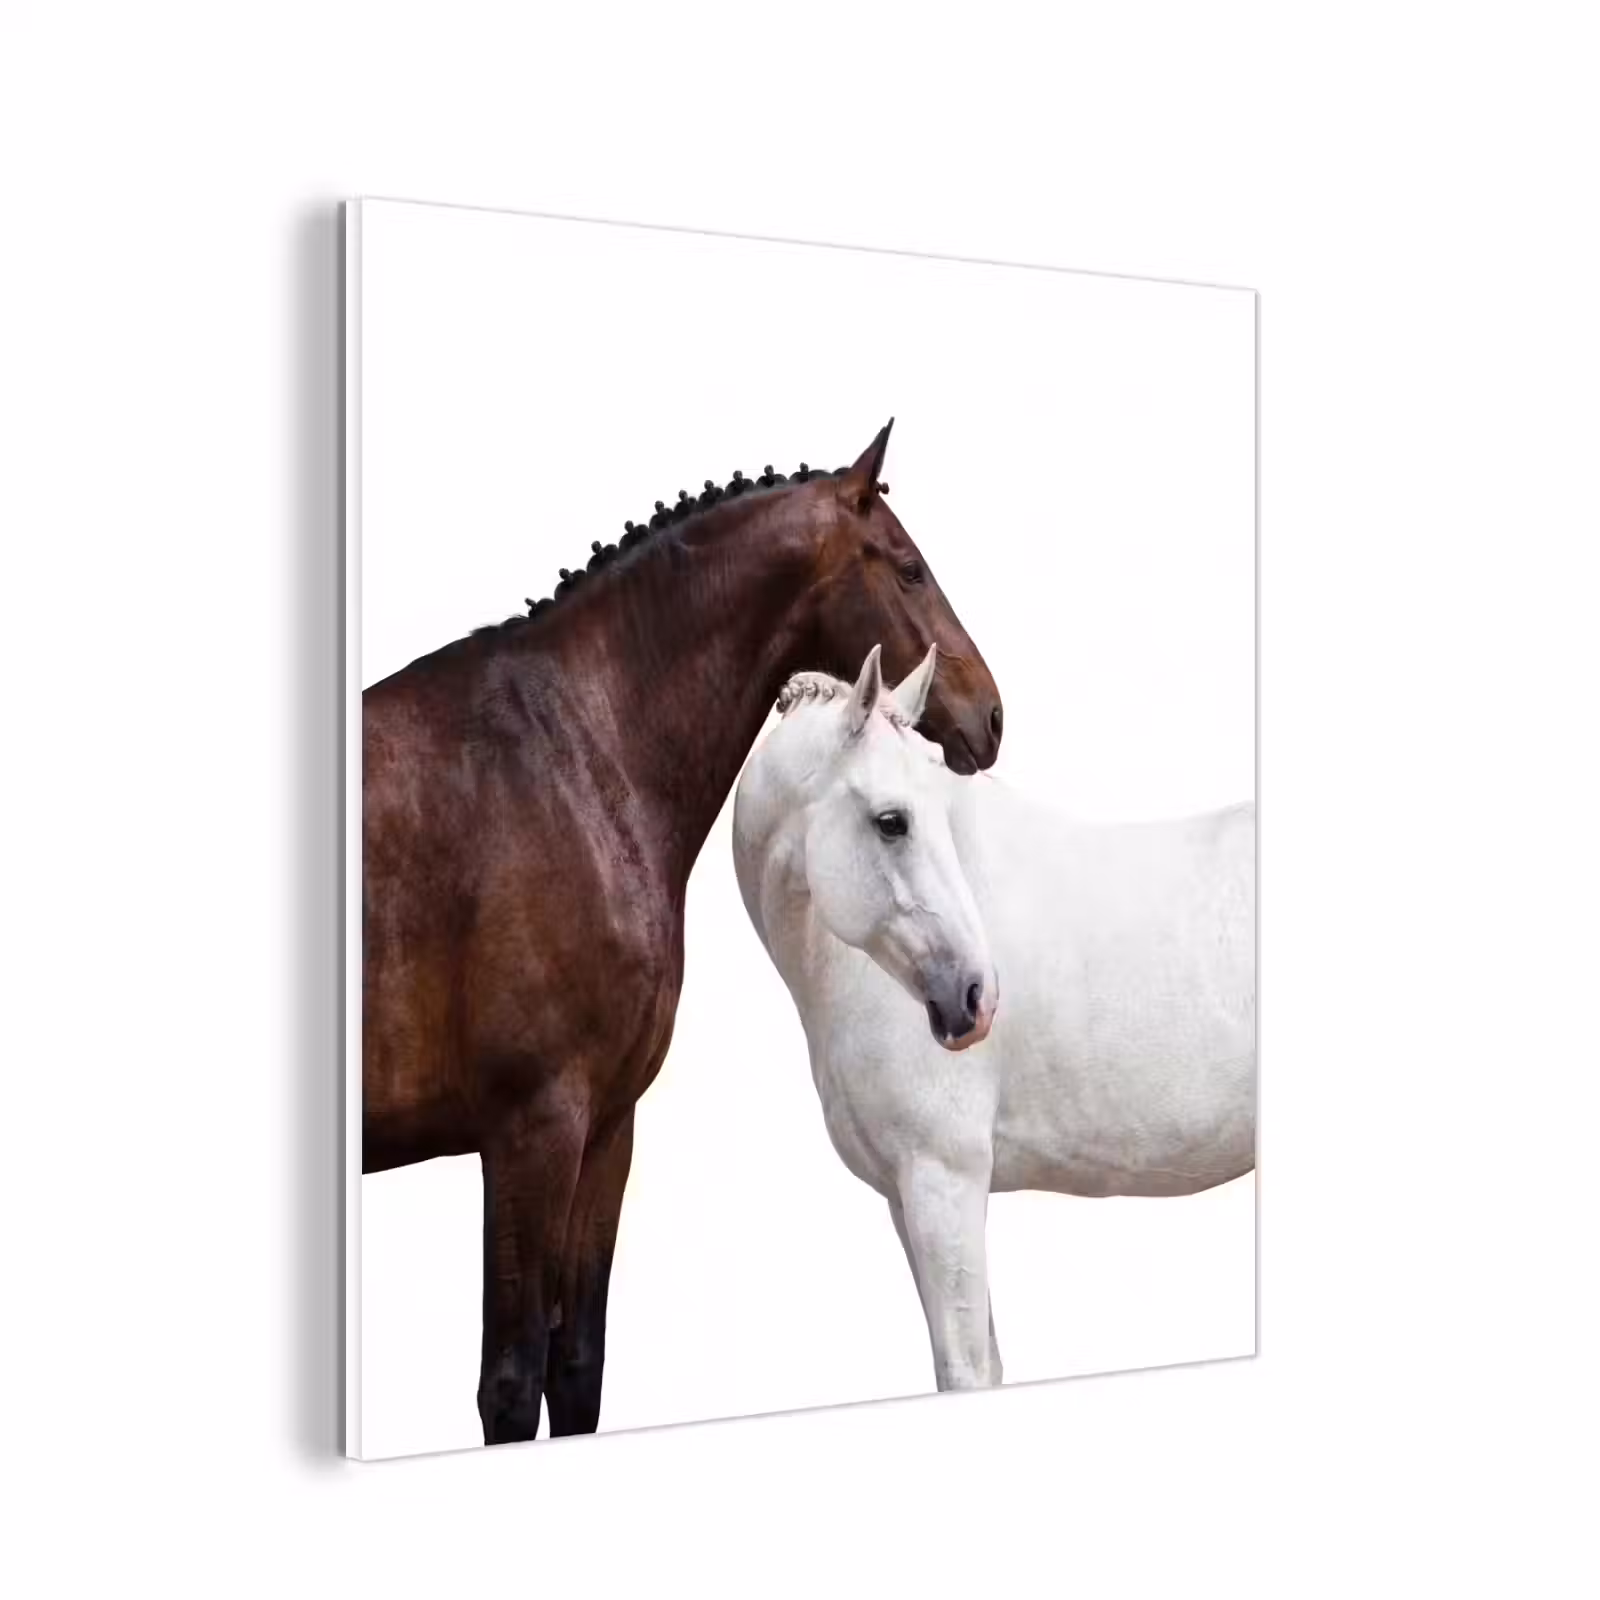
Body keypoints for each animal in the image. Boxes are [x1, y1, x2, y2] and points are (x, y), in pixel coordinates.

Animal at [362, 423, 1004, 1444]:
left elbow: (575, 1370)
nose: (991, 714)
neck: (570, 760)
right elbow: (510, 1382)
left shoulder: (605, 1130)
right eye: (909, 568)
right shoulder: (529, 1129)